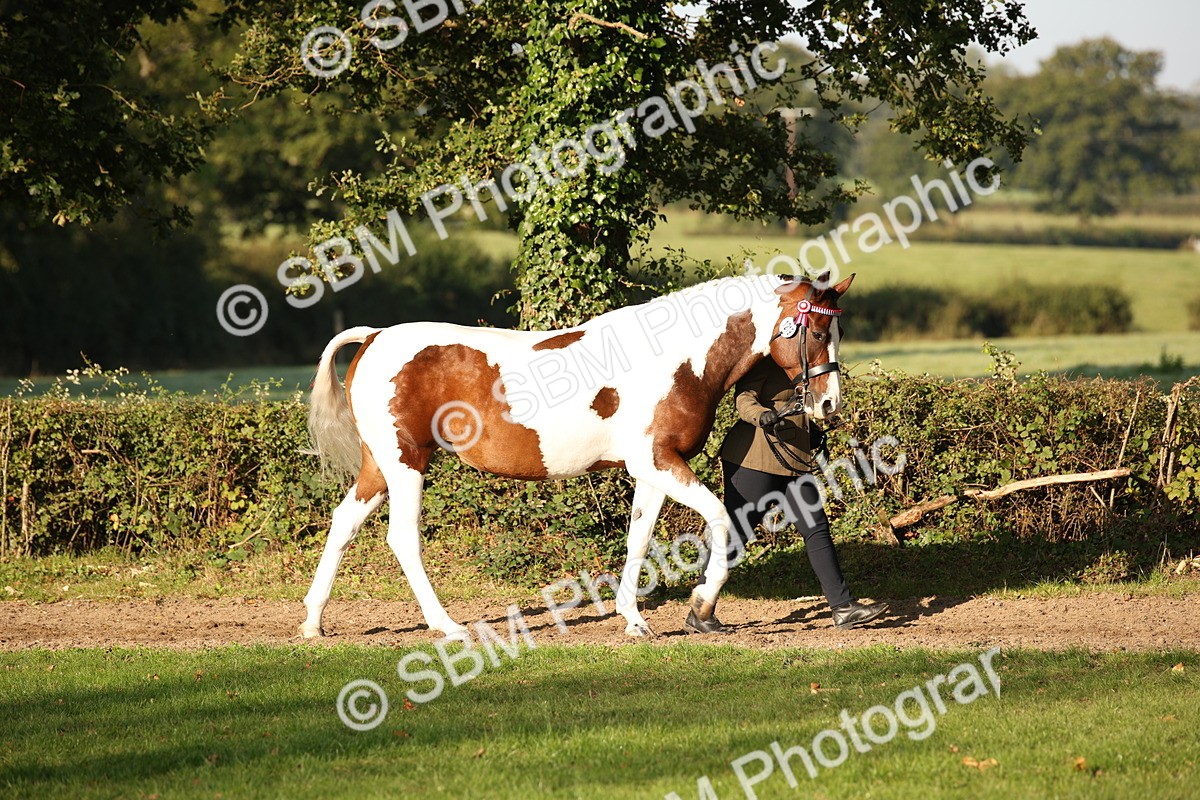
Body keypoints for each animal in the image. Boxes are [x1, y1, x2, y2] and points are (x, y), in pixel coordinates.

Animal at [300, 271, 854, 639]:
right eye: (817, 332)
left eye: (837, 331)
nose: (829, 404)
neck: (674, 358)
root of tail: (374, 336)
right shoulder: (658, 463)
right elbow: (719, 518)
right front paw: (701, 603)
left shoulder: (652, 471)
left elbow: (637, 540)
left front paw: (634, 620)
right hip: (406, 464)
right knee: (402, 538)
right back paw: (447, 625)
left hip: (381, 466)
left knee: (343, 522)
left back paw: (313, 622)